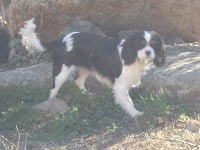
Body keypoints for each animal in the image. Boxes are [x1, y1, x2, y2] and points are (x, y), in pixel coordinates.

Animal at [20, 18, 165, 117]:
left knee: (78, 81)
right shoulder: (120, 85)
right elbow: (128, 101)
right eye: (140, 44)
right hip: (61, 72)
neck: (134, 57)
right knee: (53, 90)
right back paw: (51, 104)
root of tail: (60, 40)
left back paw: (87, 95)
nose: (148, 52)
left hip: (85, 69)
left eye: (153, 44)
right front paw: (135, 113)